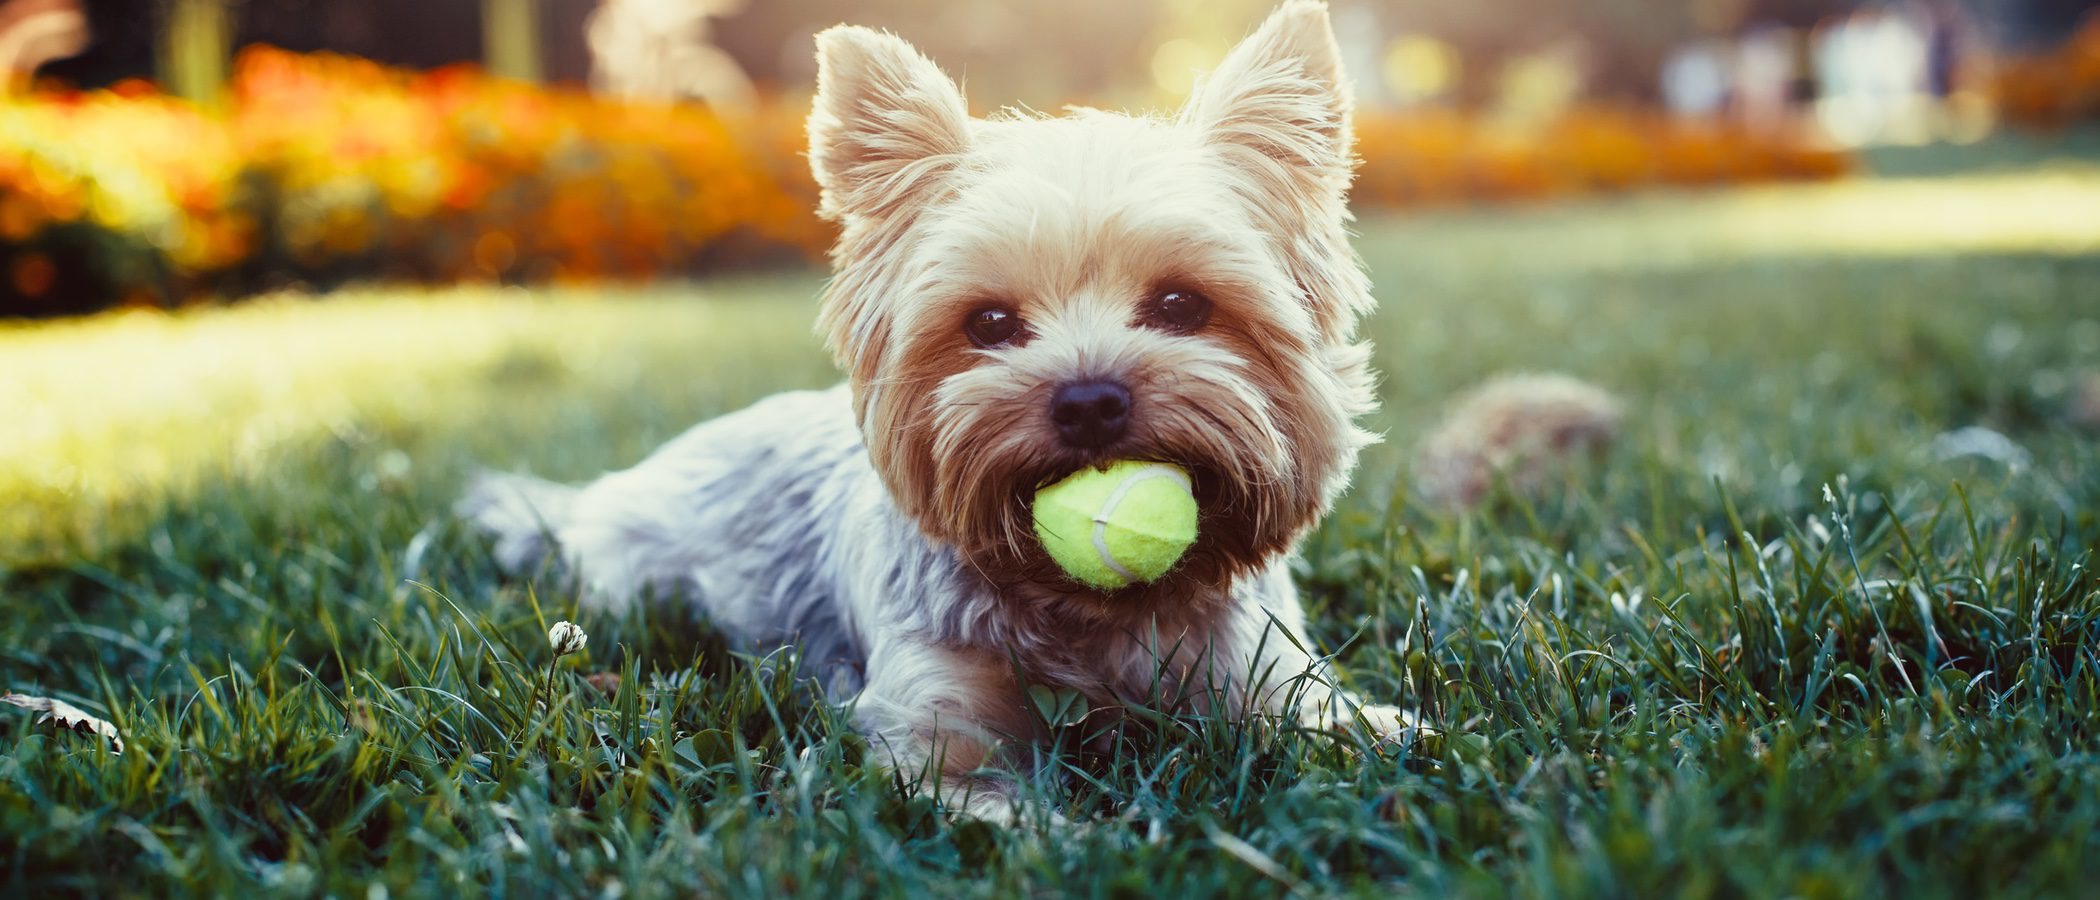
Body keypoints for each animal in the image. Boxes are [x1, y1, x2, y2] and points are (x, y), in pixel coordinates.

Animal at [459, 0, 1411, 822]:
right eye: (988, 323)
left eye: (1182, 305)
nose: (1090, 399)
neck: (1093, 613)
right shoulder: (933, 730)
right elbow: (990, 803)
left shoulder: (1268, 674)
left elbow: (1353, 729)